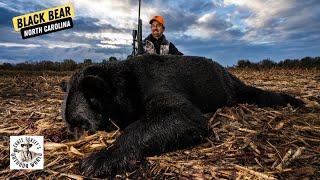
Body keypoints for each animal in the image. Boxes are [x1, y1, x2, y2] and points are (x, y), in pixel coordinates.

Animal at [61, 54, 304, 177]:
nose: (74, 138)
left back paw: (296, 101)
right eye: (70, 127)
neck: (128, 86)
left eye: (82, 124)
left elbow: (182, 117)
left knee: (255, 93)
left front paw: (101, 157)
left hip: (229, 86)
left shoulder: (157, 85)